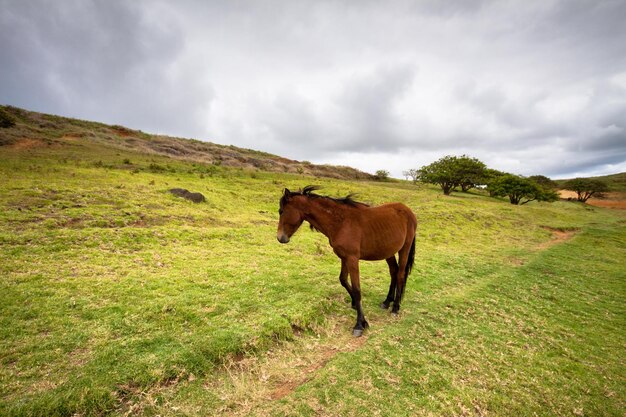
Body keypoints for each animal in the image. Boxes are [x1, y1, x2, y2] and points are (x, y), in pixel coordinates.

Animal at [276, 185, 414, 334]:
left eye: (281, 211)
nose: (280, 238)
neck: (341, 222)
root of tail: (408, 211)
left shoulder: (352, 259)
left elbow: (357, 289)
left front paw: (360, 324)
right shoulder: (344, 257)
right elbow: (343, 280)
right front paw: (355, 306)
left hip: (404, 248)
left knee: (400, 274)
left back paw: (395, 307)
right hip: (388, 252)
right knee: (393, 272)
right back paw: (387, 301)